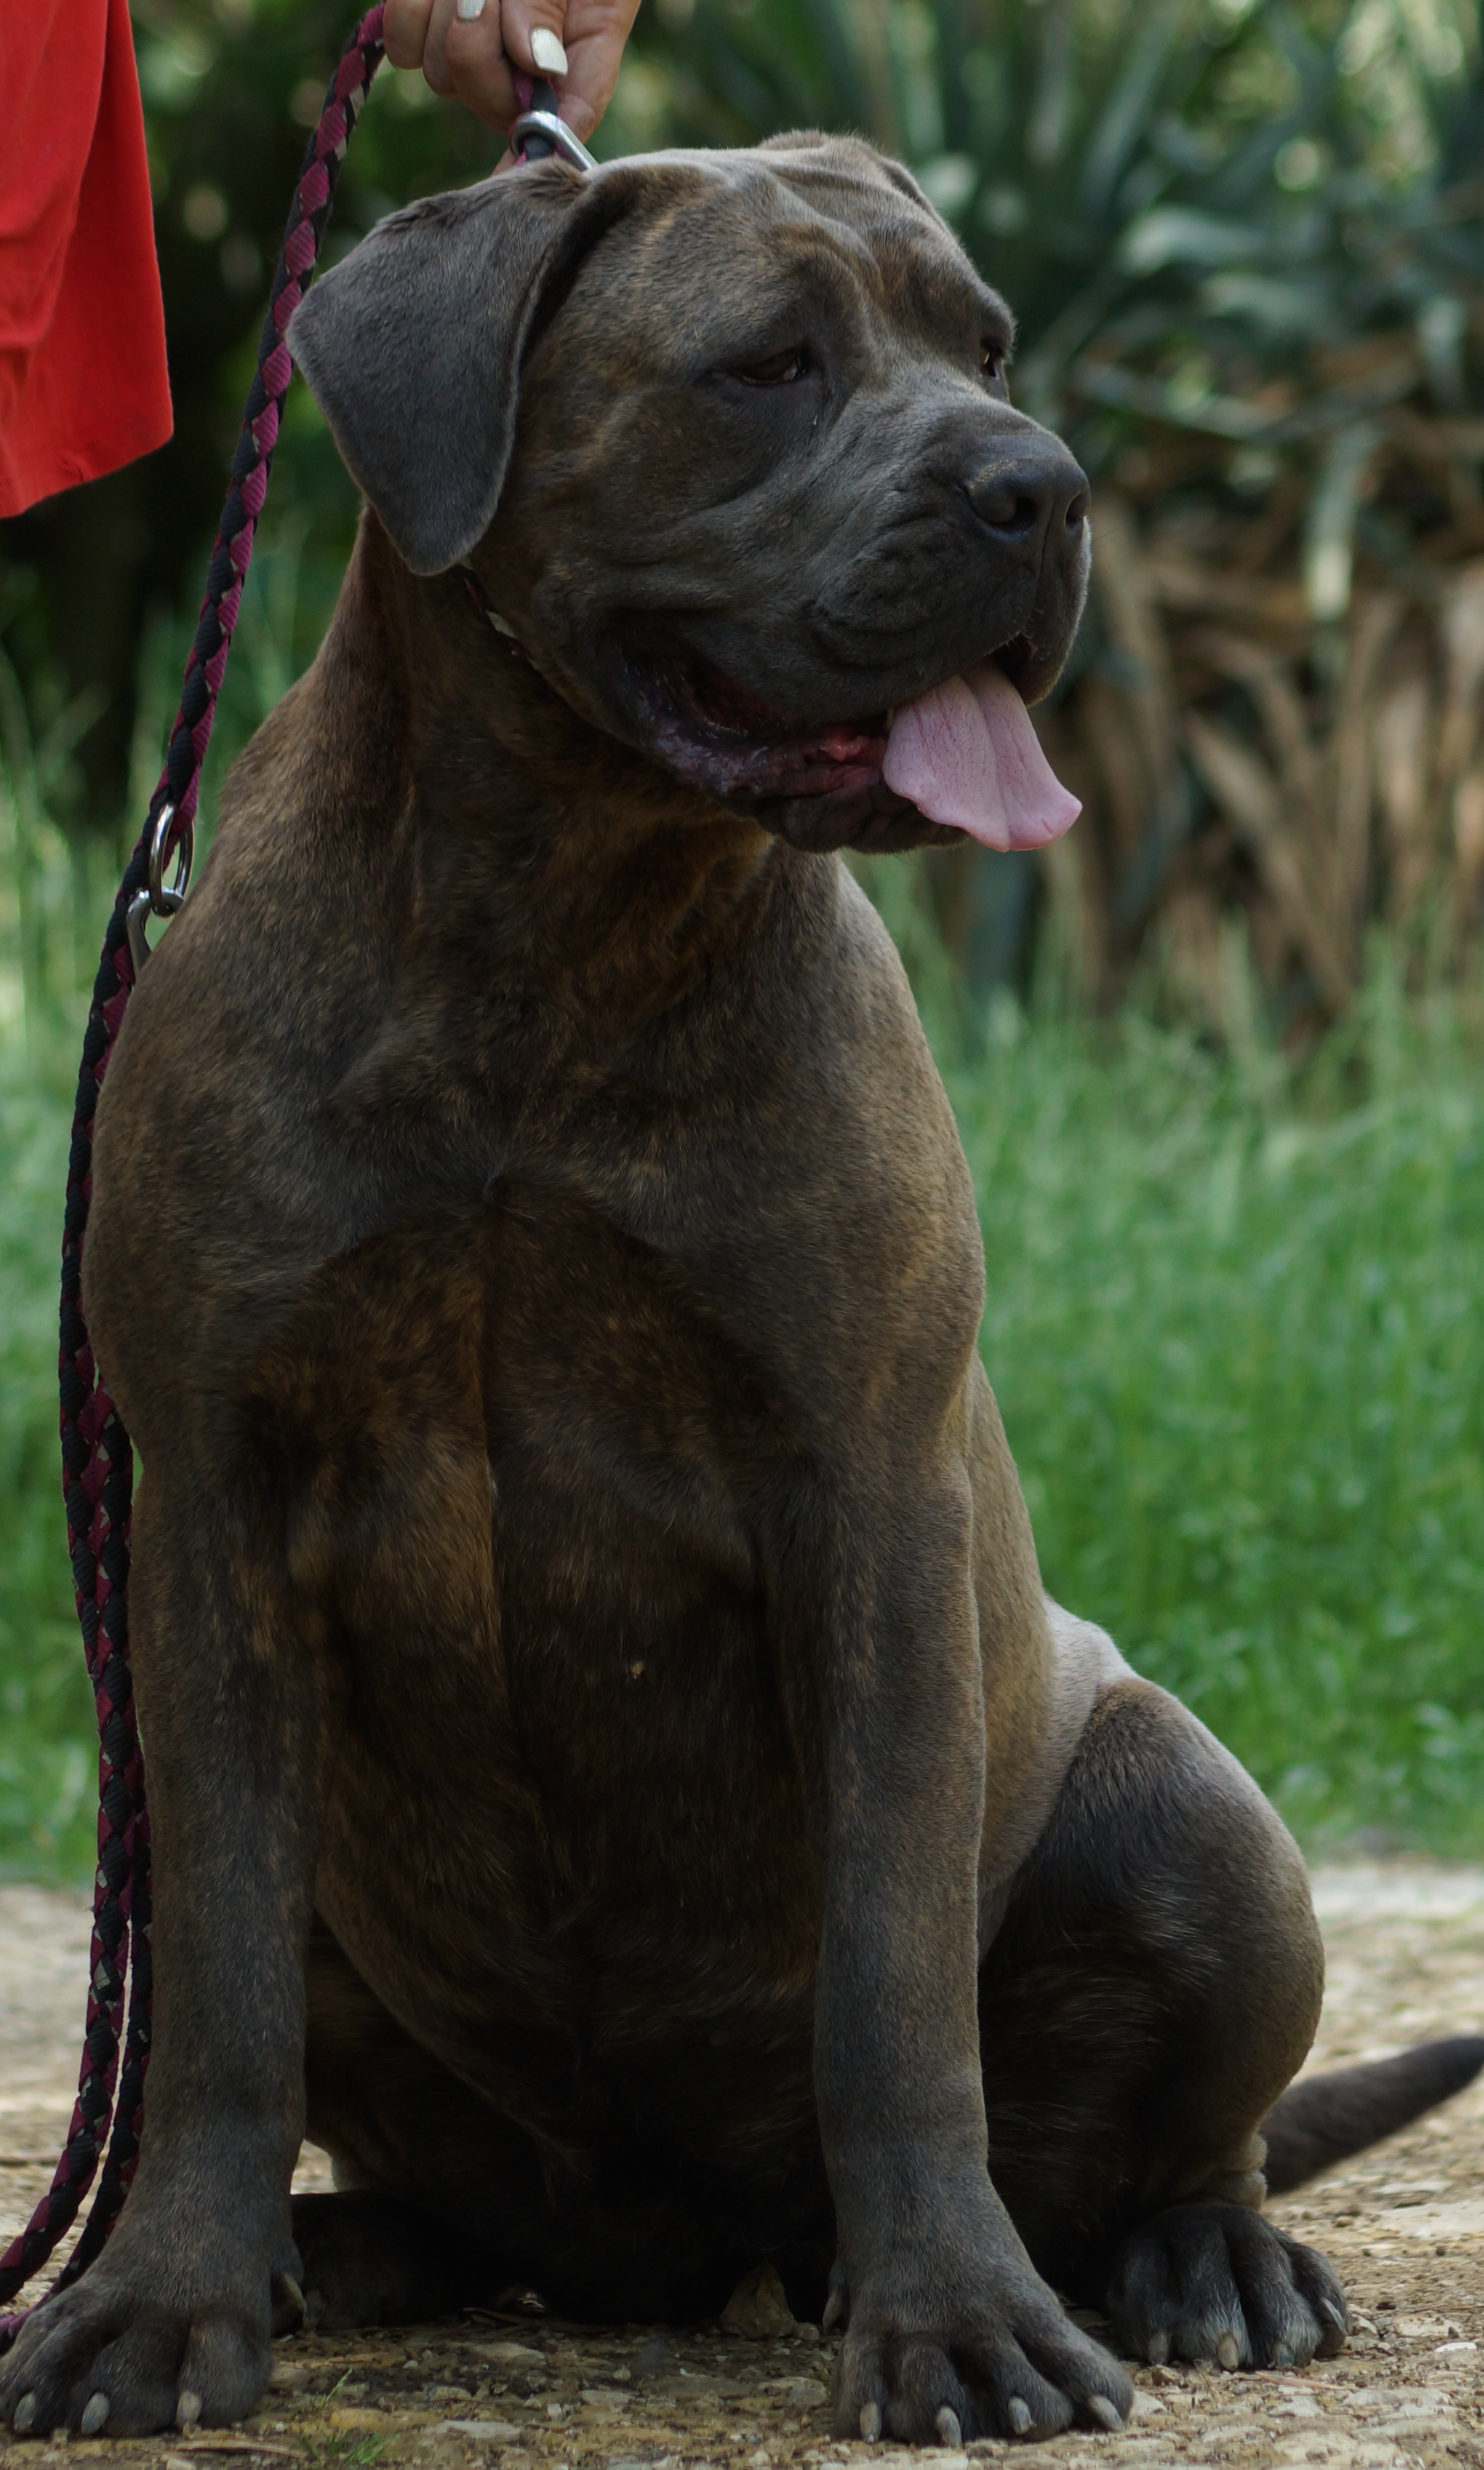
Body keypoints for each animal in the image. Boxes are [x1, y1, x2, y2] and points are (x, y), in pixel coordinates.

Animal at [5, 135, 1471, 2450]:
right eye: (766, 363)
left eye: (984, 347)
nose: (1039, 486)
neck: (555, 921)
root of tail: (675, 2250)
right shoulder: (216, 1523)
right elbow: (217, 1999)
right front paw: (160, 2302)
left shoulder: (861, 1500)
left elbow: (888, 1993)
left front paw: (955, 2319)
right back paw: (332, 2252)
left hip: (1188, 1816)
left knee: (1185, 2131)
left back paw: (1201, 2261)